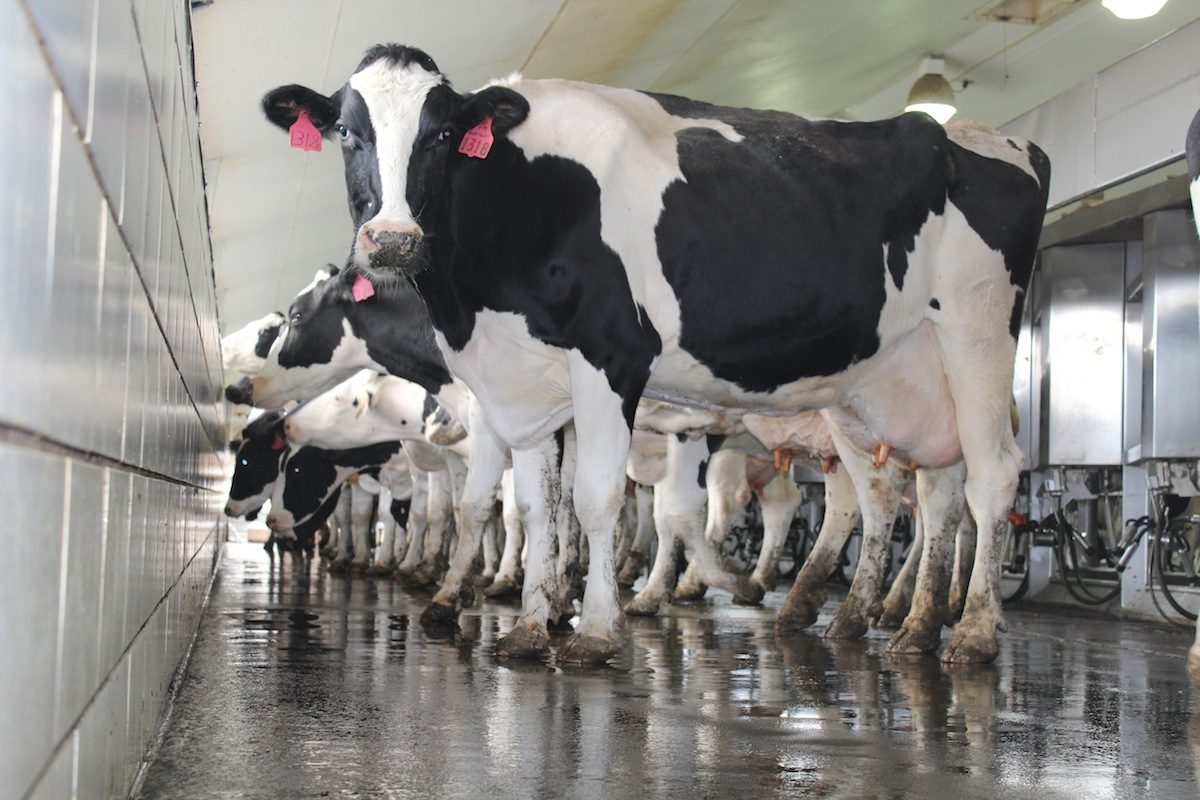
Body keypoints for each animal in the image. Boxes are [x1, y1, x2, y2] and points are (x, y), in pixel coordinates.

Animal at [262, 45, 1050, 663]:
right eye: (345, 130)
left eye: (445, 133)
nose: (393, 239)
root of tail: (989, 137)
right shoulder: (526, 390)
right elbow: (534, 508)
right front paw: (531, 623)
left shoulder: (614, 358)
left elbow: (597, 500)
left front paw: (594, 628)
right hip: (886, 383)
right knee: (919, 492)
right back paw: (892, 622)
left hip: (977, 333)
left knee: (990, 477)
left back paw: (969, 631)